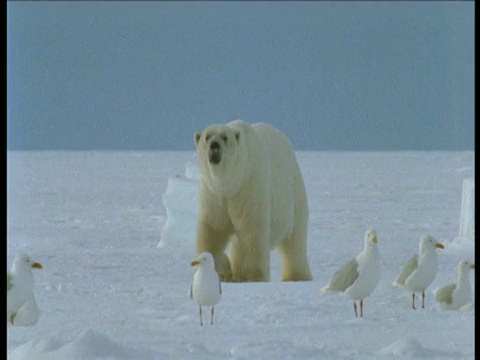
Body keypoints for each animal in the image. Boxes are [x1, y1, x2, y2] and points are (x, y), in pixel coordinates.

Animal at [193, 119, 314, 282]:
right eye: (207, 137)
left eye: (224, 137)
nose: (214, 146)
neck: (230, 183)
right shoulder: (214, 194)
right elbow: (213, 229)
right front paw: (222, 271)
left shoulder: (249, 185)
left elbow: (251, 230)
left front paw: (250, 276)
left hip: (294, 195)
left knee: (295, 240)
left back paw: (297, 276)